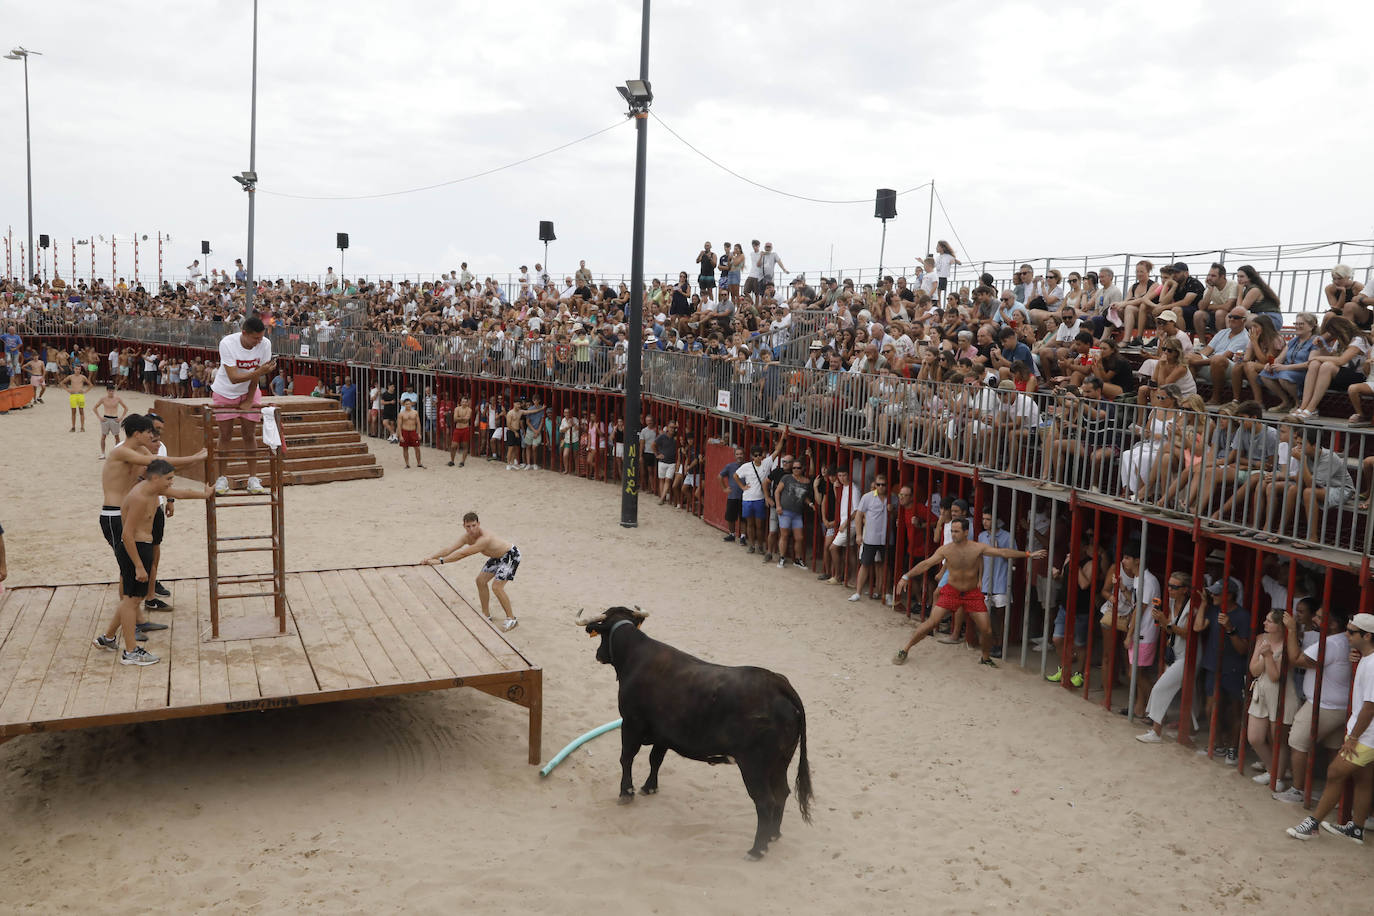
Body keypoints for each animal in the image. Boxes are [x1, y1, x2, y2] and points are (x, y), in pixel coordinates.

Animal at [582, 609, 813, 862]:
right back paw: (773, 835)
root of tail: (777, 682)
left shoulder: (630, 724)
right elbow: (655, 760)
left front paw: (626, 792)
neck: (636, 656)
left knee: (765, 802)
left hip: (754, 766)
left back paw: (757, 849)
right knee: (782, 793)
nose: (598, 654)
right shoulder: (664, 735)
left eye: (601, 632)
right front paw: (649, 787)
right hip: (780, 763)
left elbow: (626, 758)